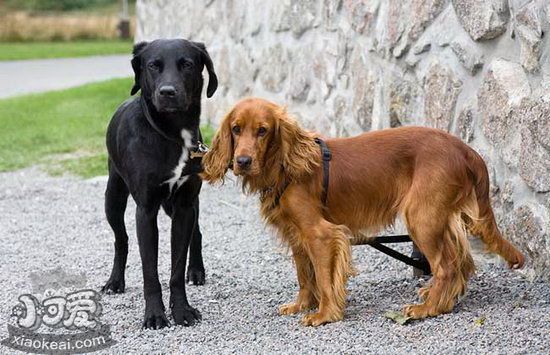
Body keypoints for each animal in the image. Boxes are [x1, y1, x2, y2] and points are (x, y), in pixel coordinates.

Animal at [103, 37, 218, 330]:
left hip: (182, 205)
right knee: (121, 240)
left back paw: (196, 270)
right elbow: (150, 271)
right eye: (153, 65)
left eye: (187, 64)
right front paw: (155, 315)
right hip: (113, 198)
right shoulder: (146, 210)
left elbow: (177, 266)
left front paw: (182, 310)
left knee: (197, 234)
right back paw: (115, 281)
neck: (174, 135)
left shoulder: (185, 206)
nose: (167, 92)